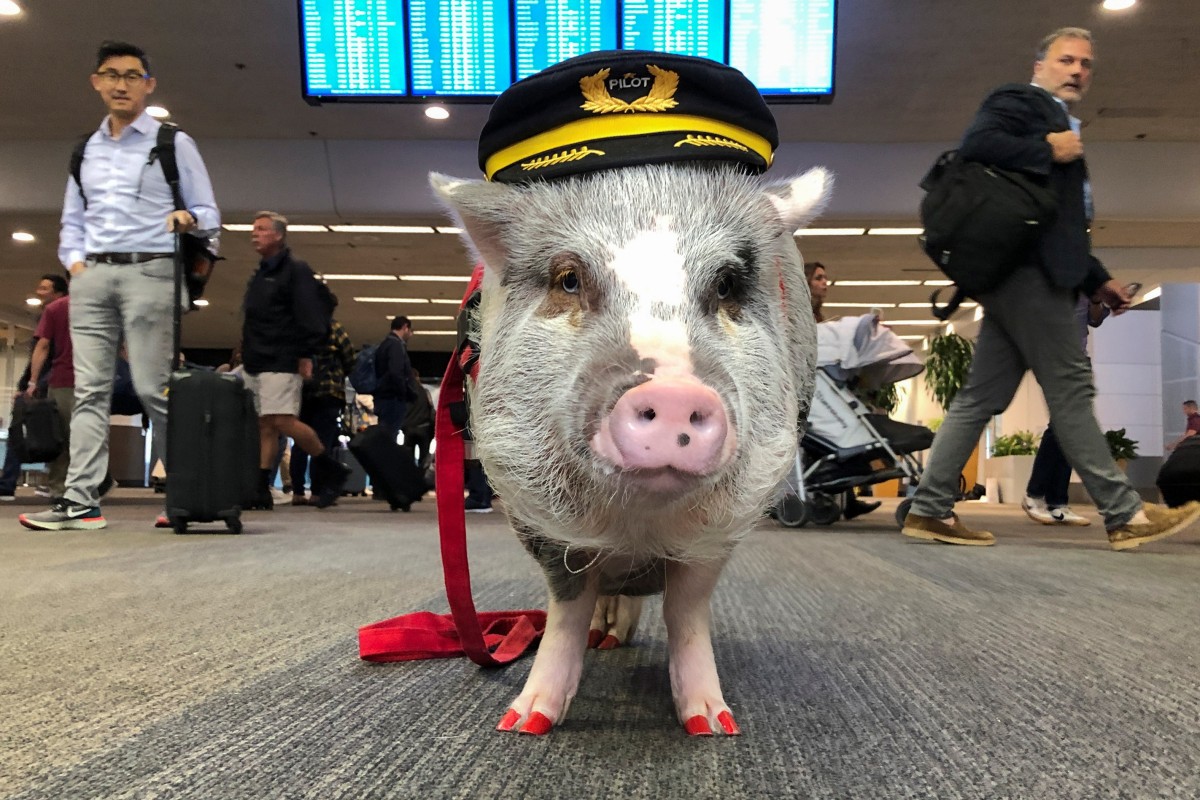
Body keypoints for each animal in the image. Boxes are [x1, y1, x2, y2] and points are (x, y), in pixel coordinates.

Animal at [432, 163, 835, 738]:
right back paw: (602, 641)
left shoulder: (722, 526)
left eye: (726, 284)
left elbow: (687, 610)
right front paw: (524, 723)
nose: (672, 393)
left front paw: (712, 725)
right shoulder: (538, 520)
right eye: (569, 279)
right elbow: (566, 610)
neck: (638, 522)